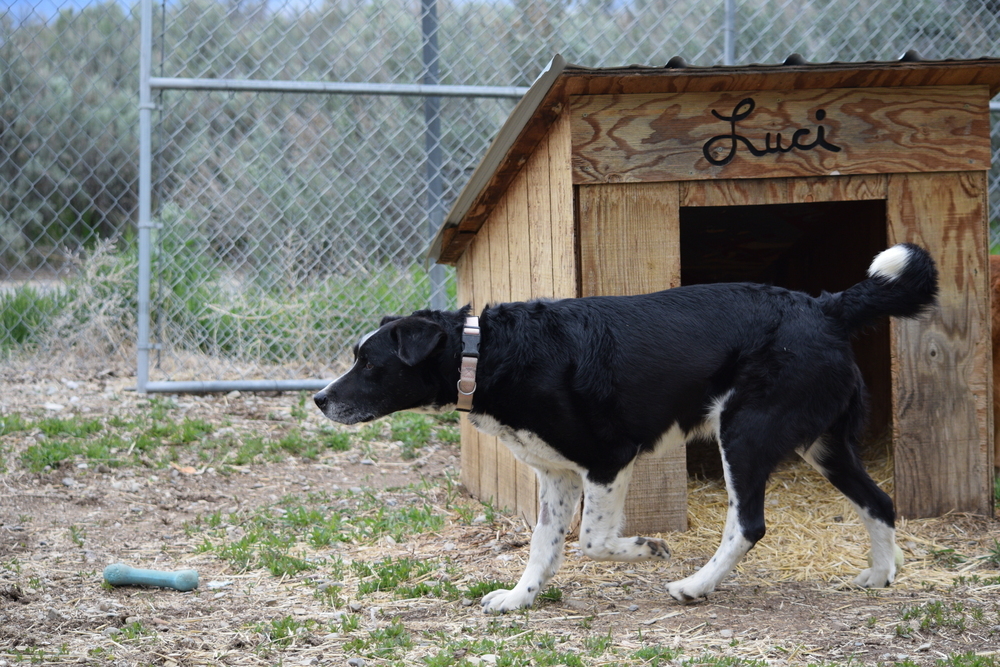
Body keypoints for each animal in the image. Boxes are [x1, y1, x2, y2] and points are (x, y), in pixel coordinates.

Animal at [318, 245, 936, 616]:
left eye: (369, 364)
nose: (321, 399)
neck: (487, 352)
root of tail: (826, 307)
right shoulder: (557, 476)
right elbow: (544, 545)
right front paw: (519, 599)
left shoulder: (609, 458)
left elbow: (592, 542)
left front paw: (646, 548)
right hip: (821, 444)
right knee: (879, 501)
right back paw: (880, 575)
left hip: (745, 433)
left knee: (749, 524)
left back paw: (695, 586)